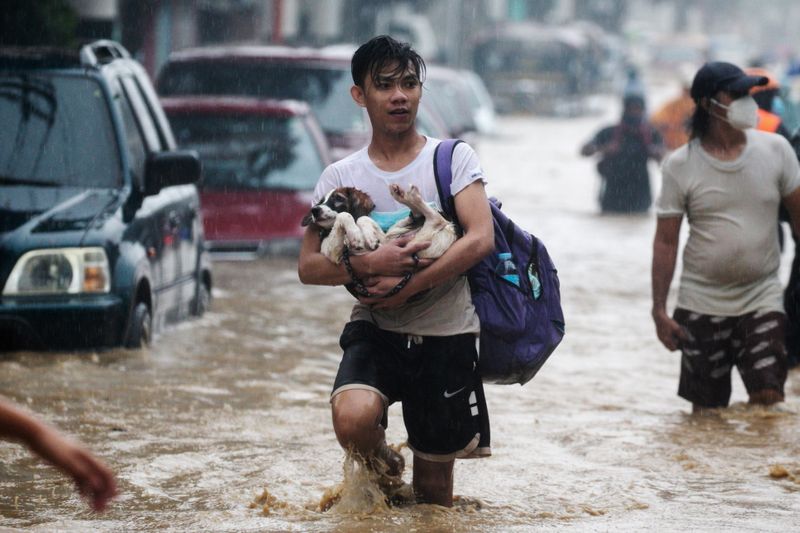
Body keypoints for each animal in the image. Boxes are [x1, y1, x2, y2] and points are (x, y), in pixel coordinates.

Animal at [302, 184, 456, 264]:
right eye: (321, 201)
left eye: (338, 198)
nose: (314, 210)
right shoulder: (333, 253)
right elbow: (344, 215)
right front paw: (357, 236)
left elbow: (361, 218)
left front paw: (367, 237)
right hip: (404, 242)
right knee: (435, 220)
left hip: (393, 238)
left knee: (432, 218)